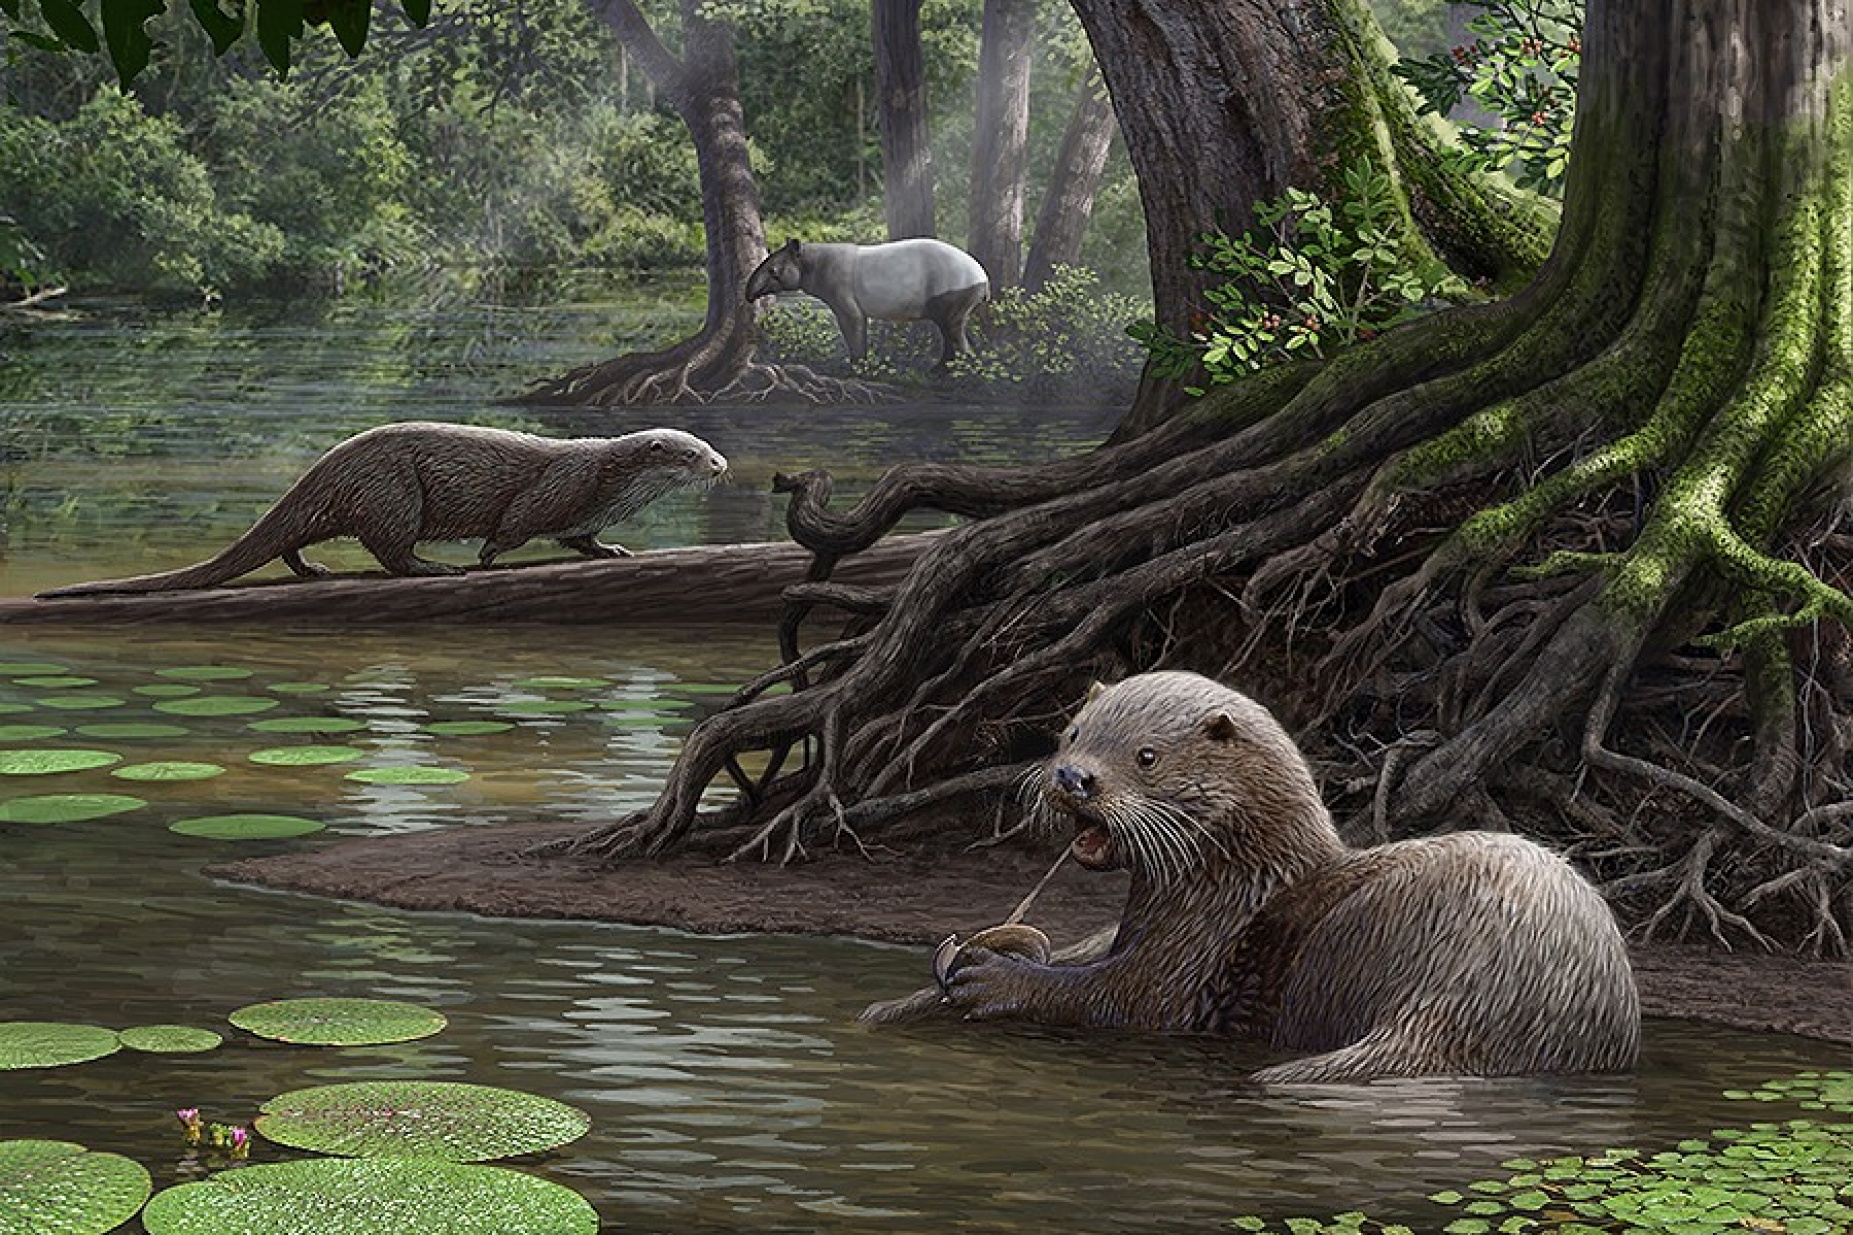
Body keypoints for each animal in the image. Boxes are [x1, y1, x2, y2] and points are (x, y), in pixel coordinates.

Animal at [37, 423, 728, 597]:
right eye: (692, 453)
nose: (722, 465)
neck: (608, 482)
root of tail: (324, 467)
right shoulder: (558, 488)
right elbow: (513, 525)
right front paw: (485, 556)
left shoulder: (585, 513)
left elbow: (581, 541)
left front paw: (612, 548)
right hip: (392, 493)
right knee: (392, 551)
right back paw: (438, 567)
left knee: (294, 541)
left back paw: (312, 570)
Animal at [871, 671, 1640, 1085]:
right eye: (1072, 733)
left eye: (1146, 755)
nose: (1072, 777)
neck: (1240, 880)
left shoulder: (1192, 957)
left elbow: (1121, 998)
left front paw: (995, 979)